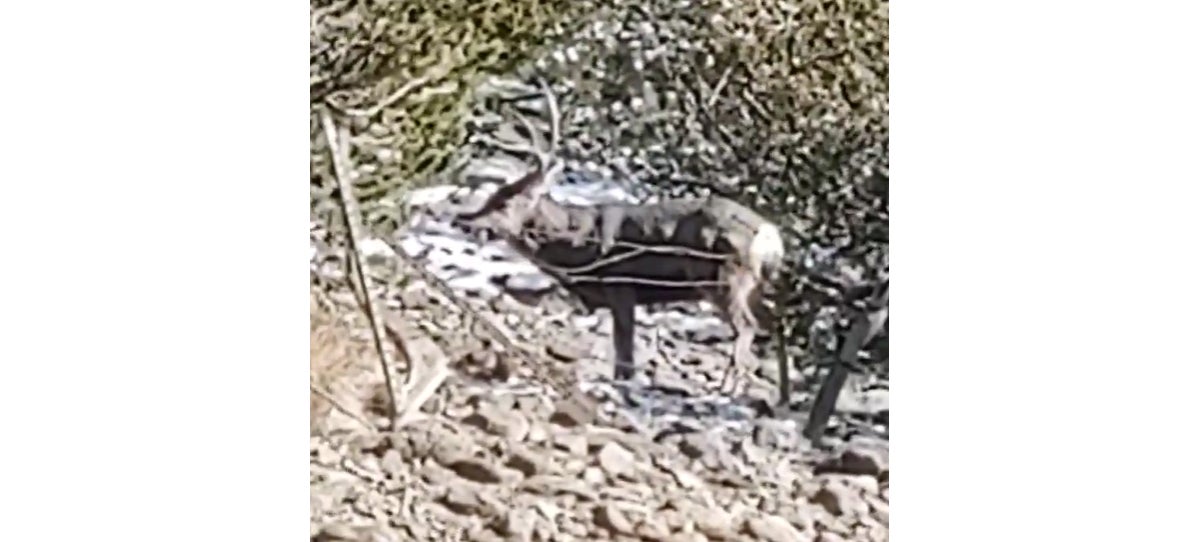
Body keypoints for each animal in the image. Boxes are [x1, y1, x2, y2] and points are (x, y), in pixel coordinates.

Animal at [446, 79, 782, 393]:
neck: (579, 243)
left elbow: (624, 352)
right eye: (492, 195)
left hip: (724, 276)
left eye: (504, 203)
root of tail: (769, 235)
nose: (464, 220)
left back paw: (727, 386)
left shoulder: (620, 285)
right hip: (753, 284)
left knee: (746, 327)